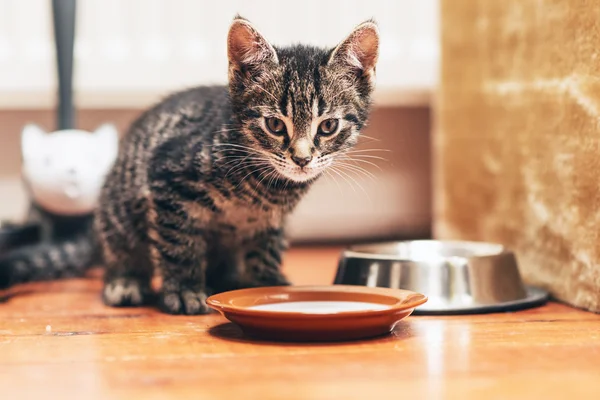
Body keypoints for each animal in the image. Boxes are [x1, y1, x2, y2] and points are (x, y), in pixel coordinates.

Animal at [2, 16, 380, 316]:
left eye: (327, 126)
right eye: (275, 125)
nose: (302, 159)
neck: (267, 186)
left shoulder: (272, 222)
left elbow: (266, 251)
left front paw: (267, 284)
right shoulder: (167, 182)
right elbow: (178, 244)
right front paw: (184, 290)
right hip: (119, 211)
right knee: (122, 250)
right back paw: (125, 280)